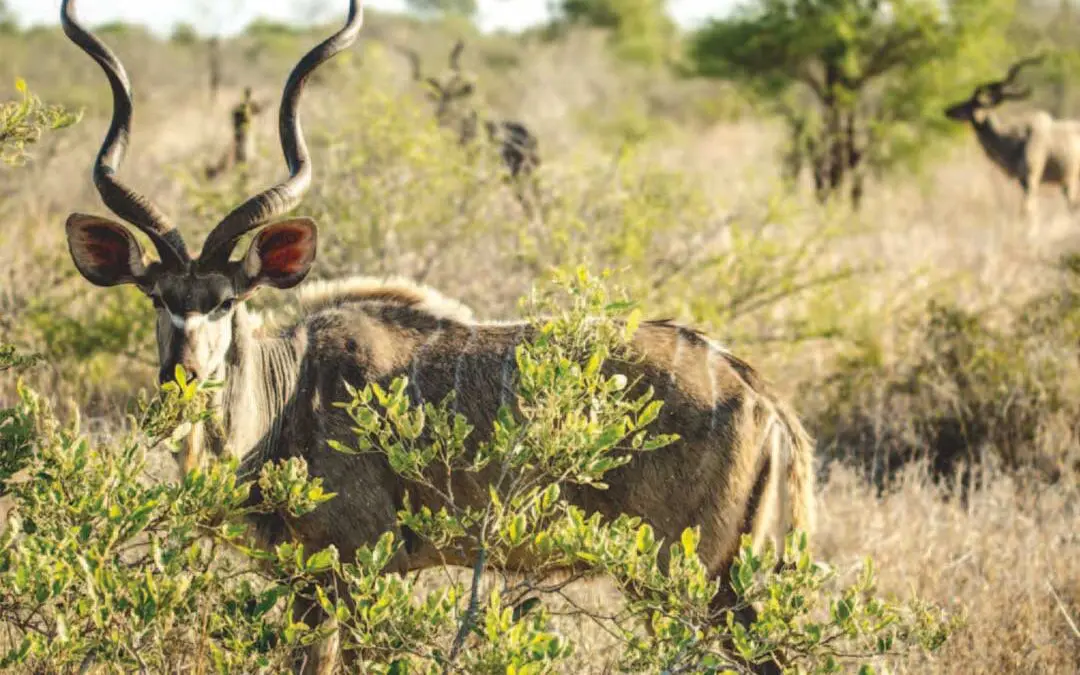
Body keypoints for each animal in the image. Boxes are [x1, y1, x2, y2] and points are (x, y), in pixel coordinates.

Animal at [61, 1, 812, 673]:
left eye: (225, 302)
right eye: (158, 296)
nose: (182, 379)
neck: (286, 394)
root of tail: (763, 398)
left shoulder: (351, 566)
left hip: (682, 578)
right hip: (730, 582)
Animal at [941, 56, 1080, 218]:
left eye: (970, 103)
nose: (947, 110)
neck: (1017, 139)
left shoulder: (1031, 180)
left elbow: (1028, 211)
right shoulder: (1025, 182)